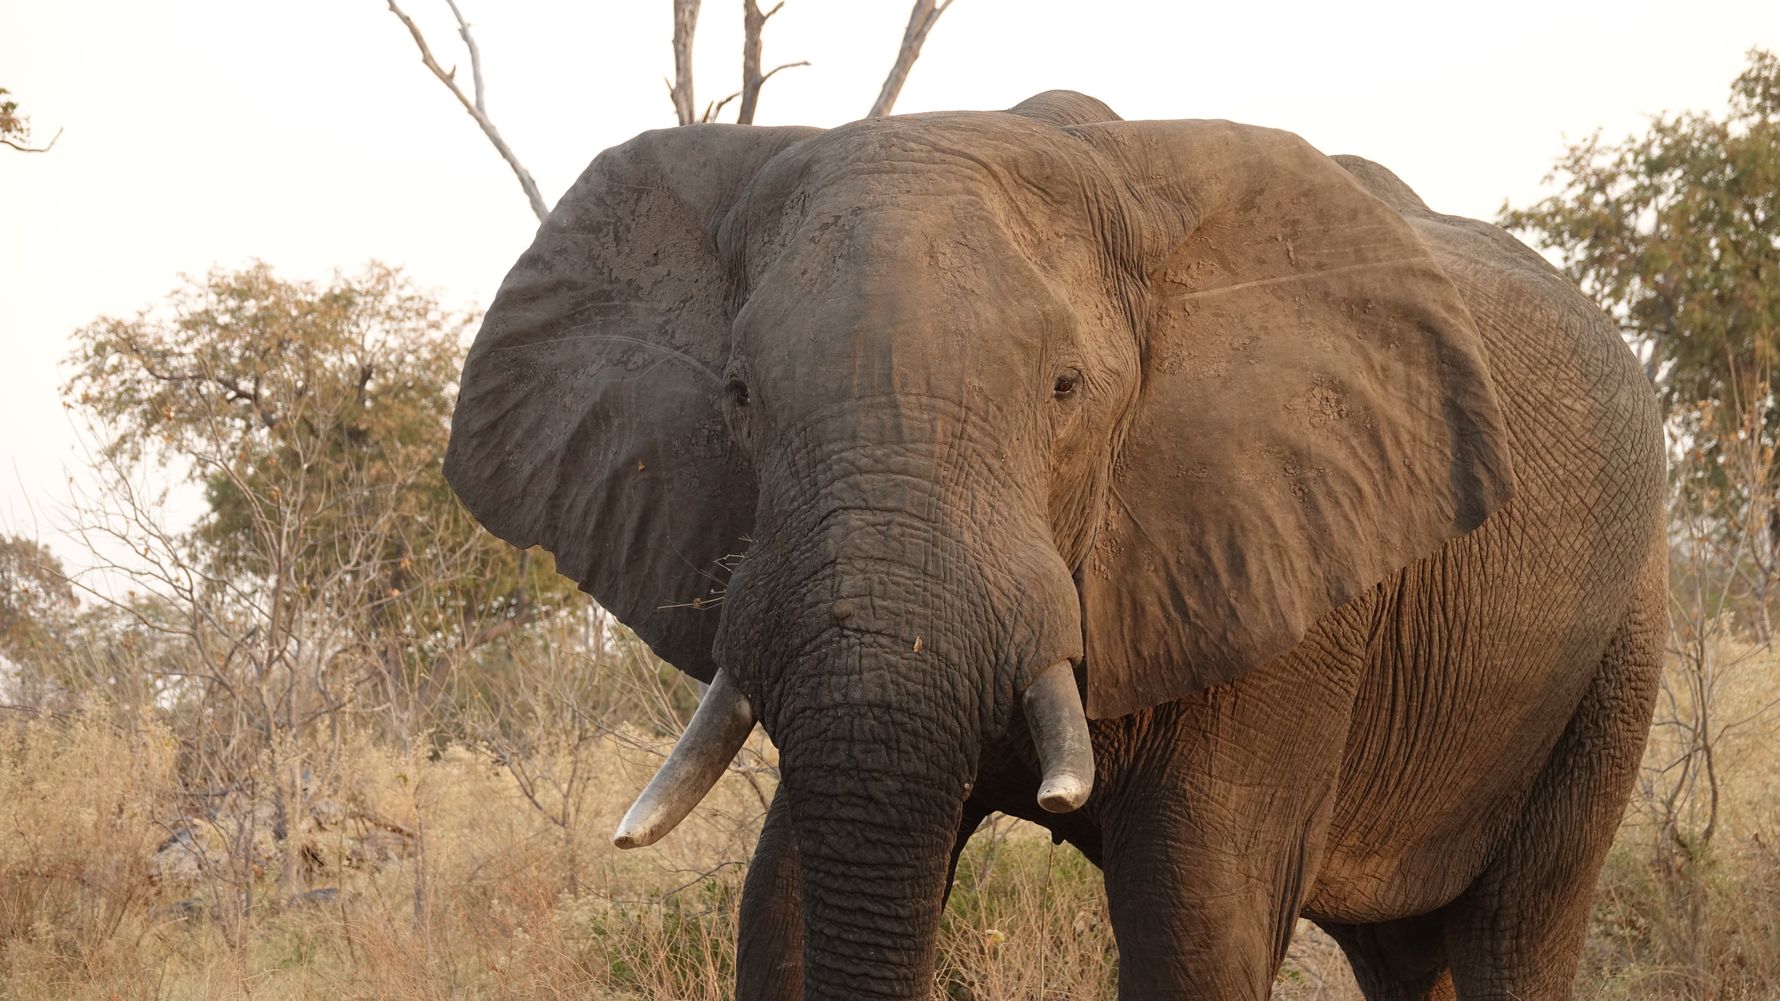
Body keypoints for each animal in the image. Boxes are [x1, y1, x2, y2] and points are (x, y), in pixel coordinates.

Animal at [443, 90, 1666, 1000]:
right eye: (739, 395)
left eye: (1067, 389)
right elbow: (781, 893)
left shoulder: (1283, 581)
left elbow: (1196, 926)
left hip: (1618, 635)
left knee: (1518, 926)